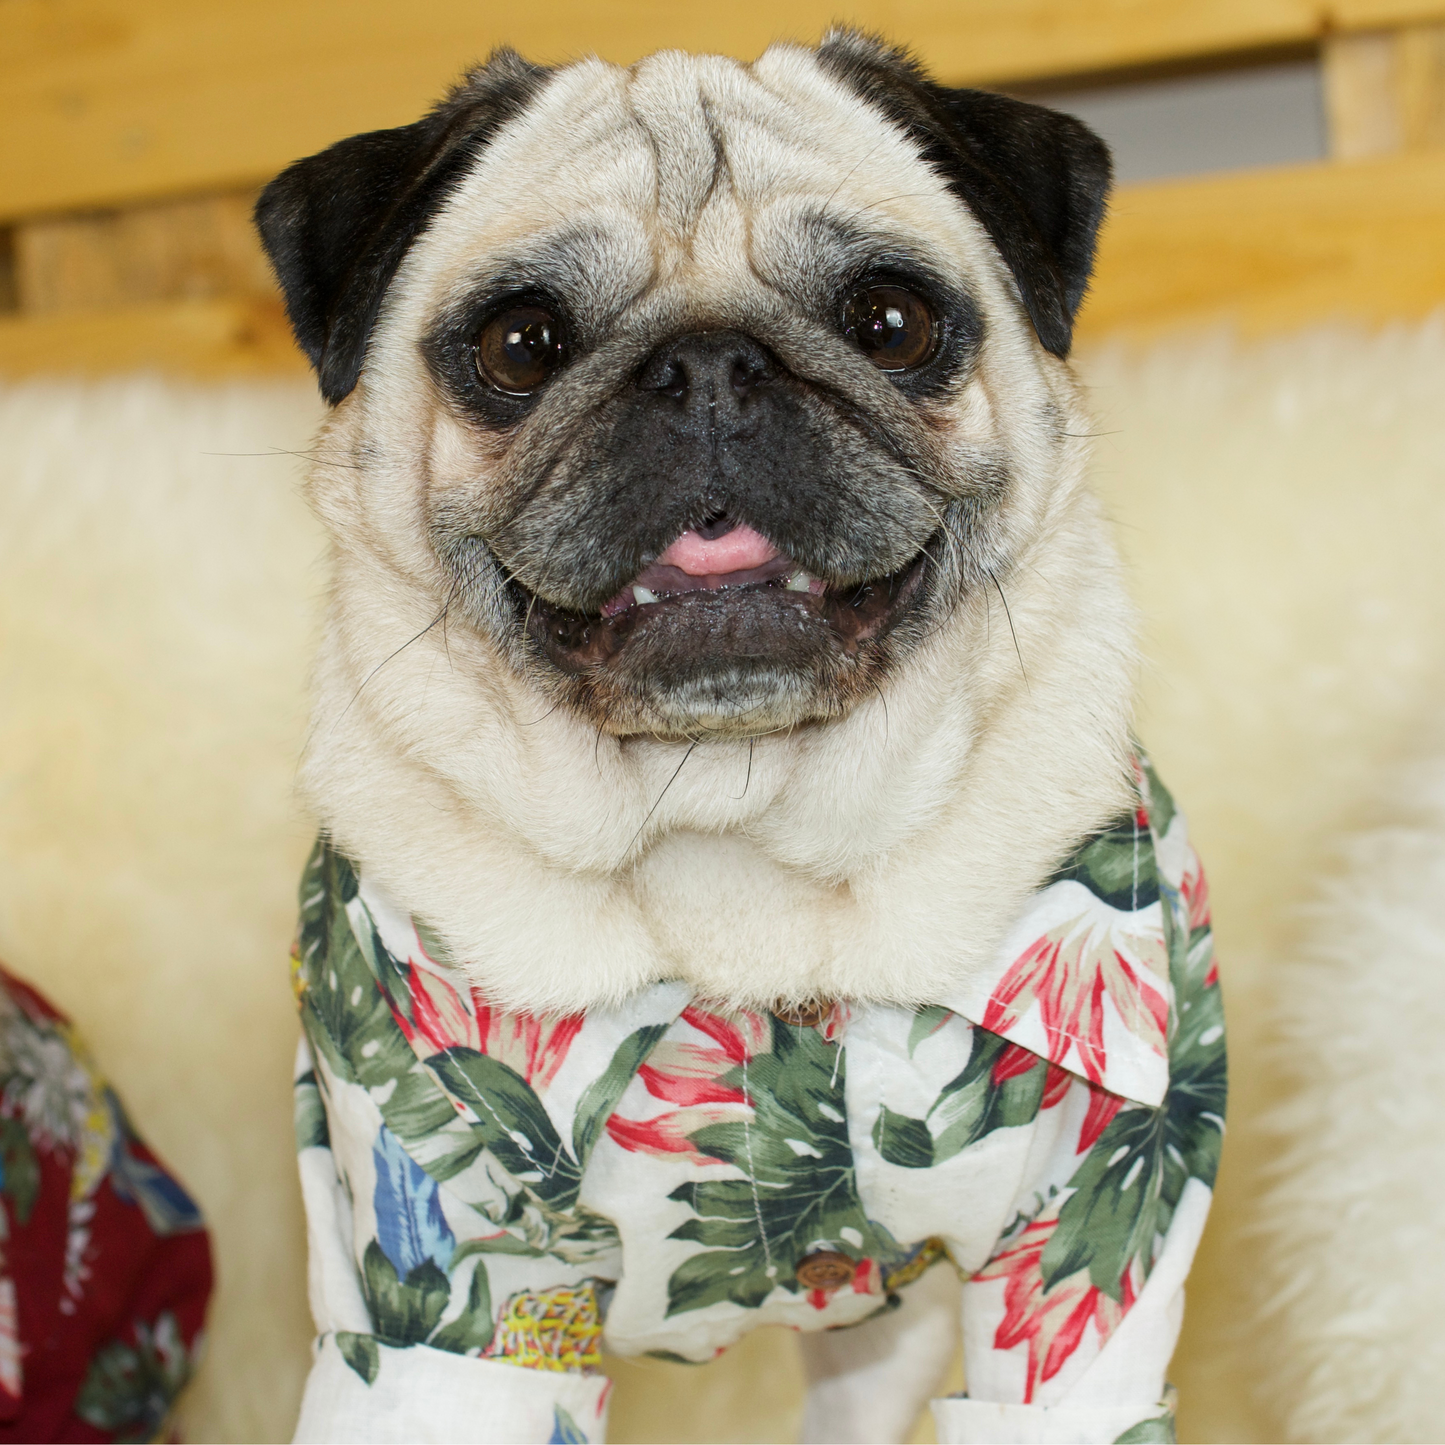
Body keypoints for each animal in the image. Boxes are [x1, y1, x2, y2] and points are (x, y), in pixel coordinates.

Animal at [260, 28, 1219, 1445]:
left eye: (890, 322)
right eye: (519, 344)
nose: (707, 364)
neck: (729, 837)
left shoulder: (1102, 1209)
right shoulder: (432, 1257)